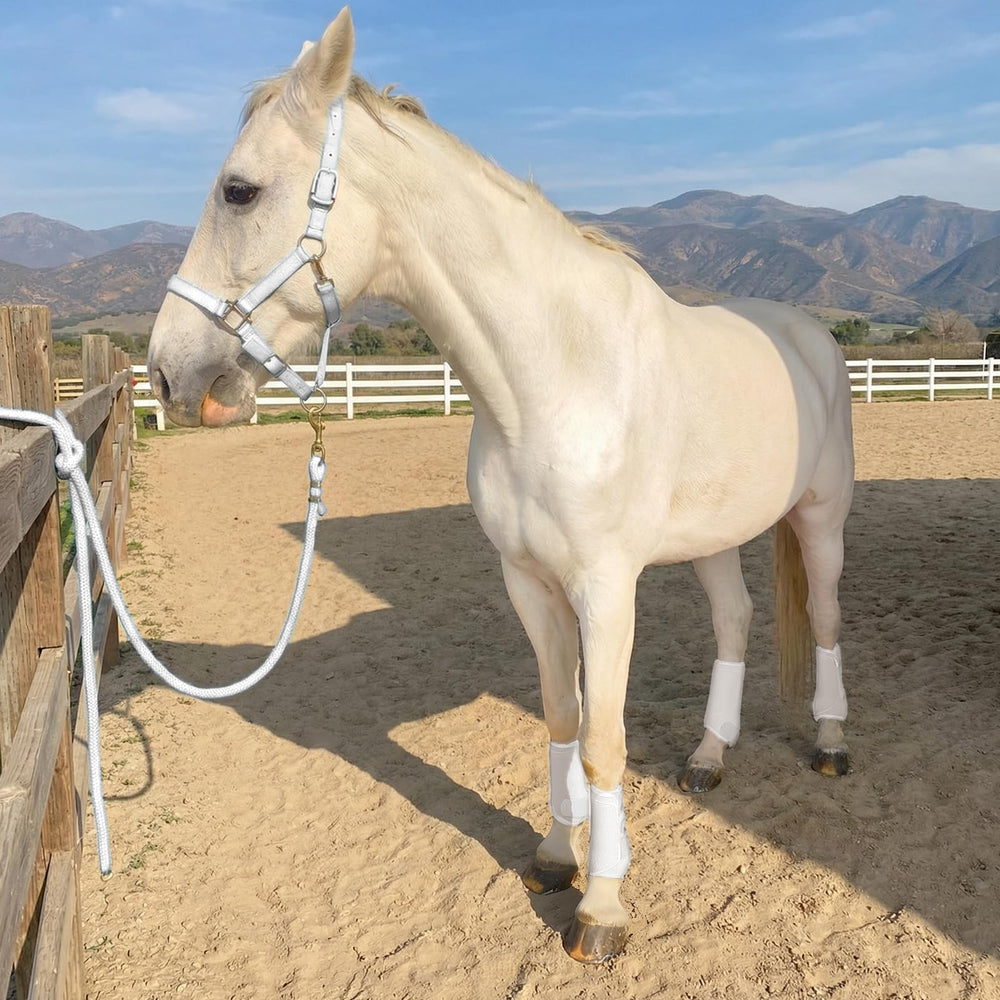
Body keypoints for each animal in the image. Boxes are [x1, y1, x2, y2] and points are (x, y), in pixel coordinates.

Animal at [147, 8, 854, 964]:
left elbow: (602, 740)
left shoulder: (606, 590)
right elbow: (559, 719)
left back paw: (830, 743)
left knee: (825, 617)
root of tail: (807, 334)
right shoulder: (529, 583)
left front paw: (602, 911)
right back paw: (708, 758)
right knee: (736, 621)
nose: (169, 374)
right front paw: (555, 860)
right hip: (713, 536)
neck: (552, 379)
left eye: (240, 191)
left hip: (821, 520)